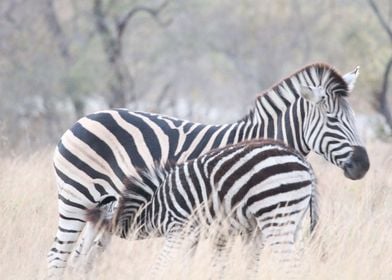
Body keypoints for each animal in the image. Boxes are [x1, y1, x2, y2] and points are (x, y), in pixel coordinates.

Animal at [89, 139, 318, 278]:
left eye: (98, 241)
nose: (89, 268)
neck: (153, 208)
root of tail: (302, 161)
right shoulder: (192, 235)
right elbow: (185, 266)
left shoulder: (177, 229)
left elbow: (160, 266)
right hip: (291, 220)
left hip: (276, 215)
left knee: (289, 264)